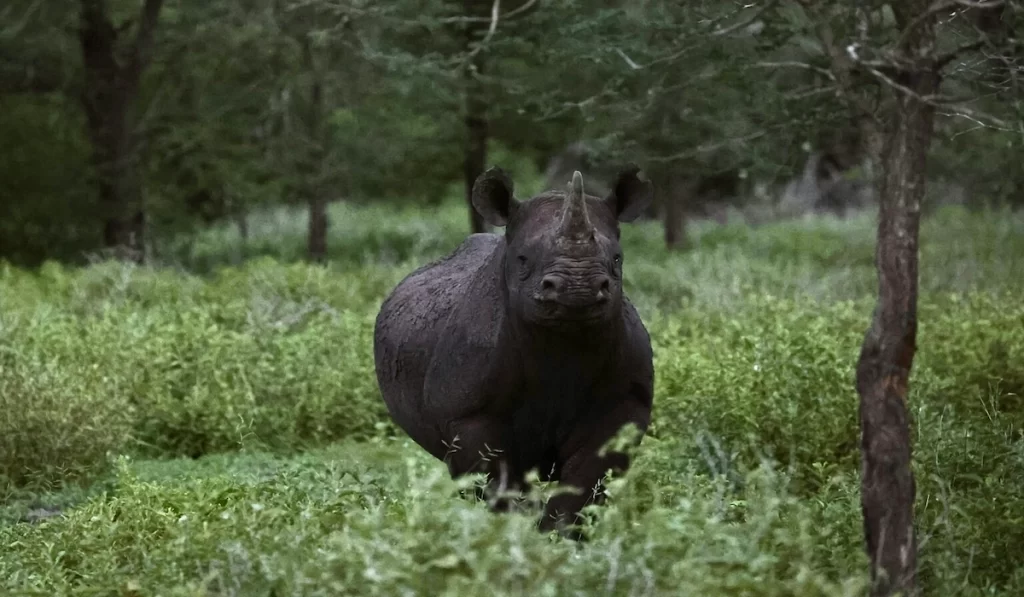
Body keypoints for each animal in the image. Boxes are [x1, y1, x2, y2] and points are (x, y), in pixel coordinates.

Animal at [372, 165, 656, 538]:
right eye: (523, 260)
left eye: (617, 259)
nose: (577, 289)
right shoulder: (468, 413)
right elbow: (497, 482)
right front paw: (513, 537)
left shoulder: (624, 403)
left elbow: (585, 484)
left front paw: (559, 539)